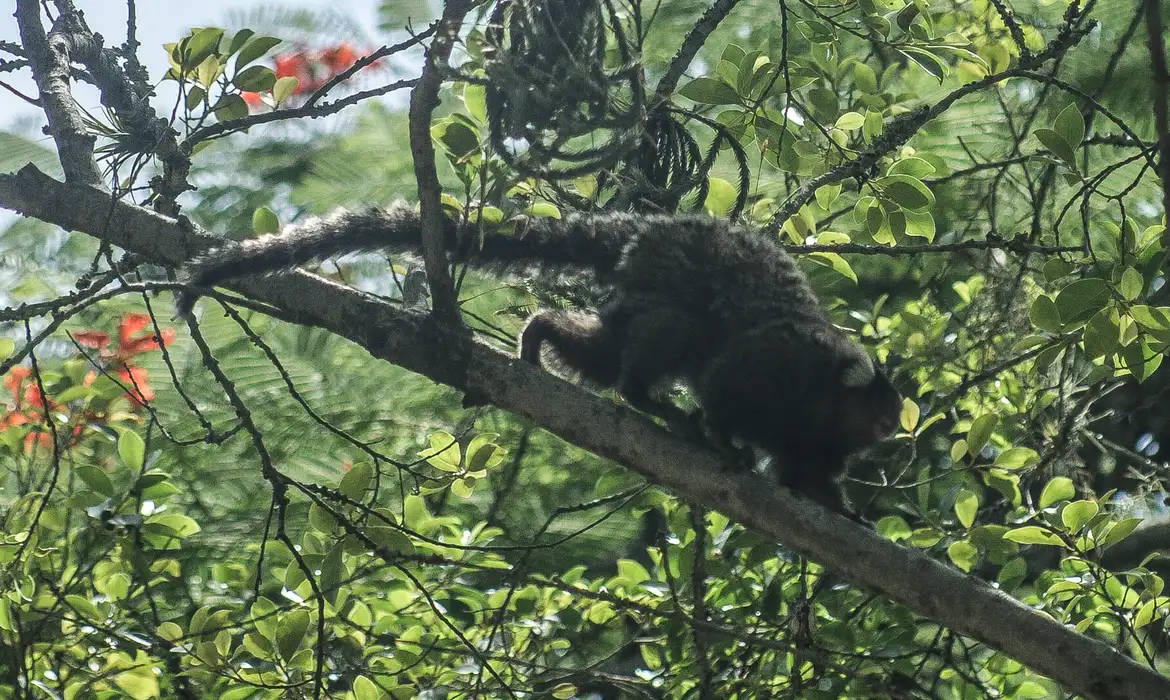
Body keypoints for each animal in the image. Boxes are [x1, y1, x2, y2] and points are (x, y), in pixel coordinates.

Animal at [175, 202, 903, 515]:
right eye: (881, 412)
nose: (893, 430)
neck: (821, 398)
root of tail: (647, 229)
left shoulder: (818, 441)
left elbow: (809, 475)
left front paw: (842, 511)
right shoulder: (775, 367)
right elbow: (724, 387)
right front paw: (724, 442)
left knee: (608, 351)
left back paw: (543, 334)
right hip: (668, 280)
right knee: (673, 336)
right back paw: (648, 399)